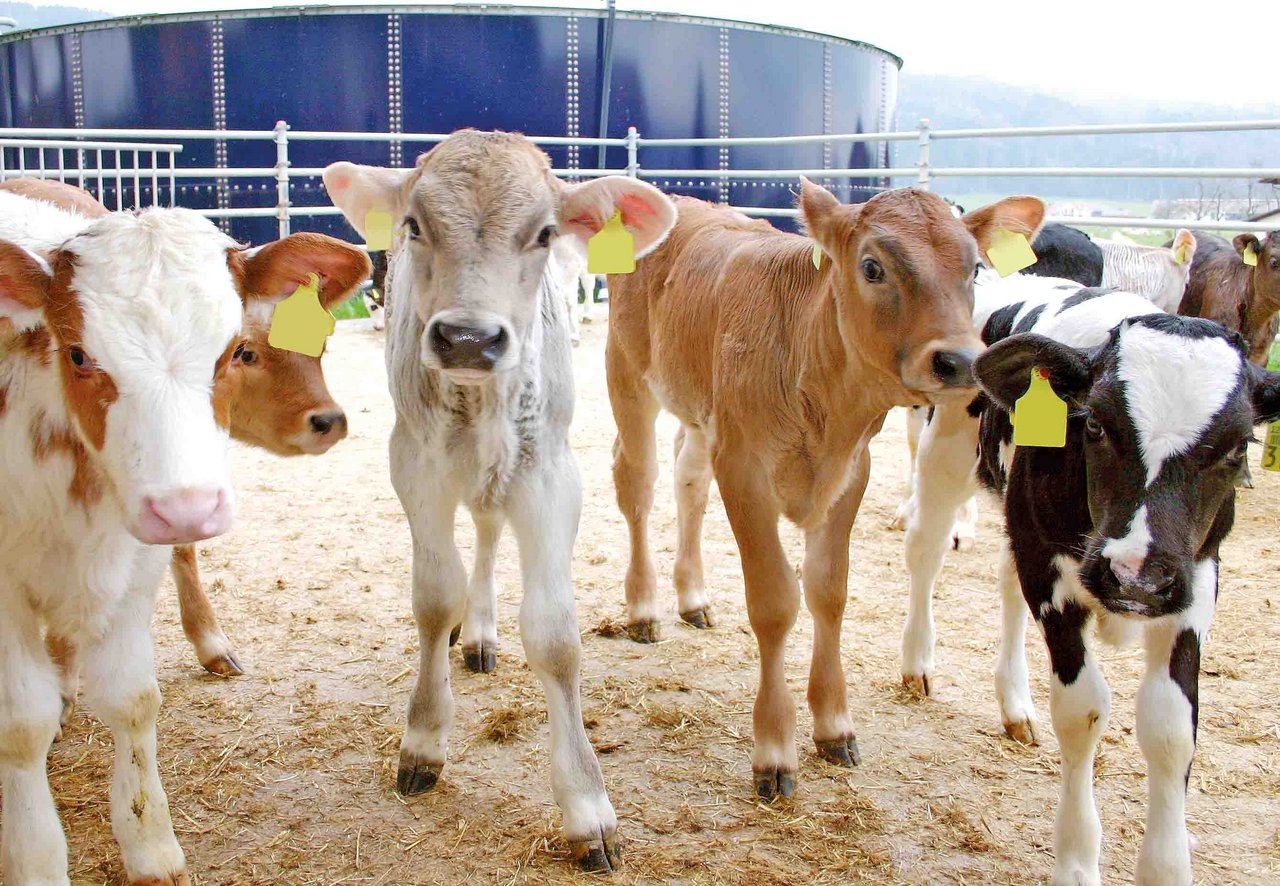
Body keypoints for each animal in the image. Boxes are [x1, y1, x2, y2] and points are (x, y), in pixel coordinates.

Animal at [0, 190, 355, 880]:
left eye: (233, 350)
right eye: (77, 353)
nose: (184, 505)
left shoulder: (136, 565)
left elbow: (134, 698)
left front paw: (151, 847)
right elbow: (19, 727)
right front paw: (34, 860)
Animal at [325, 129, 675, 870]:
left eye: (544, 232)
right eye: (414, 225)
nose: (468, 339)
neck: (479, 402)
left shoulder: (551, 475)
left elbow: (555, 636)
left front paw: (587, 806)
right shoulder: (414, 465)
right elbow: (434, 602)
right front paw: (423, 740)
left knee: (487, 531)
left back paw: (483, 629)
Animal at [604, 183, 1044, 798]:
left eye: (975, 268)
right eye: (872, 266)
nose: (959, 360)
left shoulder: (850, 470)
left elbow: (828, 592)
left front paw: (835, 725)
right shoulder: (743, 468)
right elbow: (774, 602)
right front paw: (774, 749)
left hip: (698, 412)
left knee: (687, 478)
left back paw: (693, 597)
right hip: (627, 375)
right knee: (637, 484)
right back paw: (643, 608)